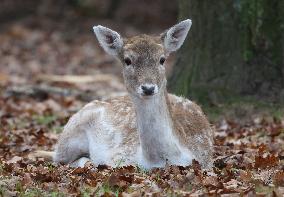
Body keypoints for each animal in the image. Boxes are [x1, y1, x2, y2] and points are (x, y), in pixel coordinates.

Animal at [33, 19, 213, 169]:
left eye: (162, 59)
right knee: (57, 157)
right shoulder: (117, 159)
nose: (148, 88)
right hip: (70, 134)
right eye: (127, 60)